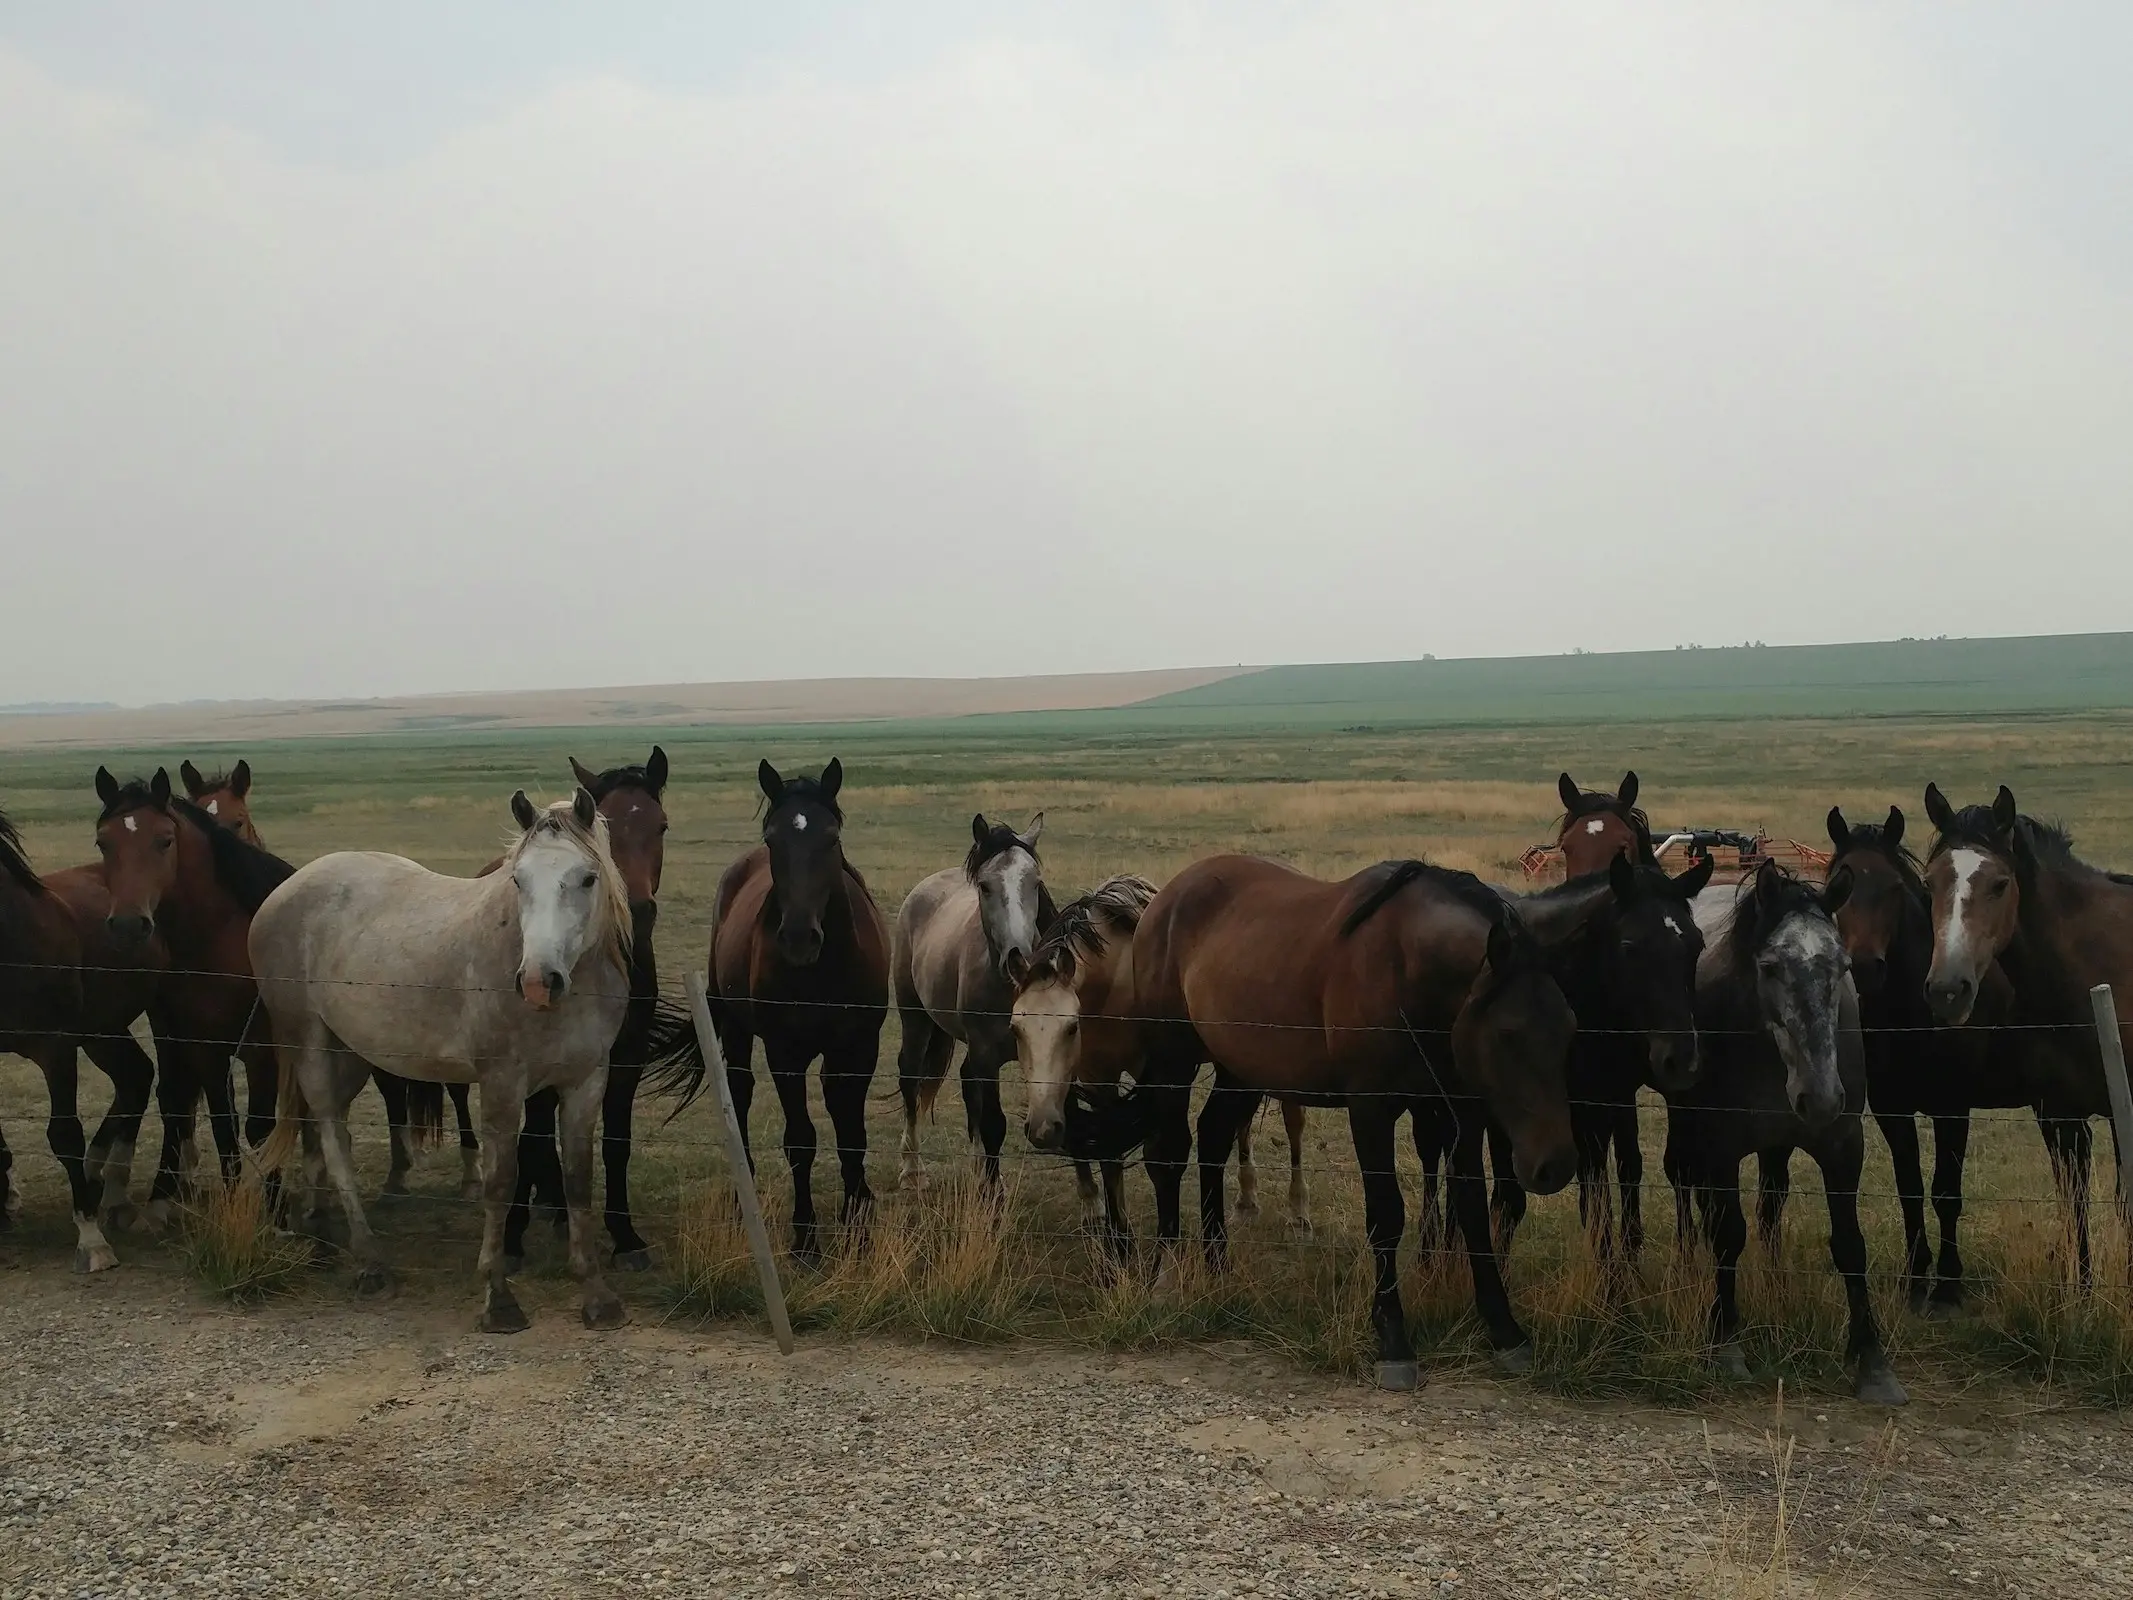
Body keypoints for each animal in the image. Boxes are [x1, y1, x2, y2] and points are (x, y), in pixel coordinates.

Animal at [250, 785, 627, 1331]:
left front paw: (598, 1296)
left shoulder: (586, 1081)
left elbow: (579, 1181)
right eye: (518, 879)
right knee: (333, 1138)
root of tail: (284, 892)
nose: (539, 982)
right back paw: (370, 1264)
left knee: (323, 1133)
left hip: (351, 1054)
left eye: (587, 877)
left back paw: (323, 1238)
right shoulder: (501, 1083)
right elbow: (500, 1182)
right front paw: (499, 1298)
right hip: (310, 1045)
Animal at [507, 750, 674, 1280]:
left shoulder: (627, 1056)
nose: (639, 910)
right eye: (606, 830)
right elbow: (534, 1135)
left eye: (661, 825)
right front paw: (514, 1233)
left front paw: (625, 1235)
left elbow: (617, 1140)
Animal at [652, 759, 887, 1262]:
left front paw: (858, 1225)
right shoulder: (786, 1053)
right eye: (772, 839)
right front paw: (806, 1237)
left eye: (831, 837)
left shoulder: (860, 1049)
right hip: (735, 1029)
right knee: (739, 1094)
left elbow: (852, 1137)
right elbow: (801, 1140)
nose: (799, 938)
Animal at [891, 814, 1049, 1194]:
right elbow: (993, 1122)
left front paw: (990, 1180)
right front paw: (993, 1194)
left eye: (1035, 883)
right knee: (910, 1079)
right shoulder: (987, 1055)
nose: (1020, 960)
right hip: (914, 1018)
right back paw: (912, 1169)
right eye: (986, 886)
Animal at [1134, 857, 1586, 1399]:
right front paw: (1393, 1339)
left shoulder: (1460, 1112)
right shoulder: (1370, 1111)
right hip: (1172, 1059)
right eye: (1508, 1033)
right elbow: (1386, 1217)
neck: (1405, 971)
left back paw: (1218, 1266)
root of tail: (1169, 894)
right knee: (1167, 1155)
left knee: (1214, 1137)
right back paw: (1166, 1276)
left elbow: (1474, 1213)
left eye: (1568, 1028)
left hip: (1240, 1068)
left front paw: (1505, 1331)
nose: (1554, 1165)